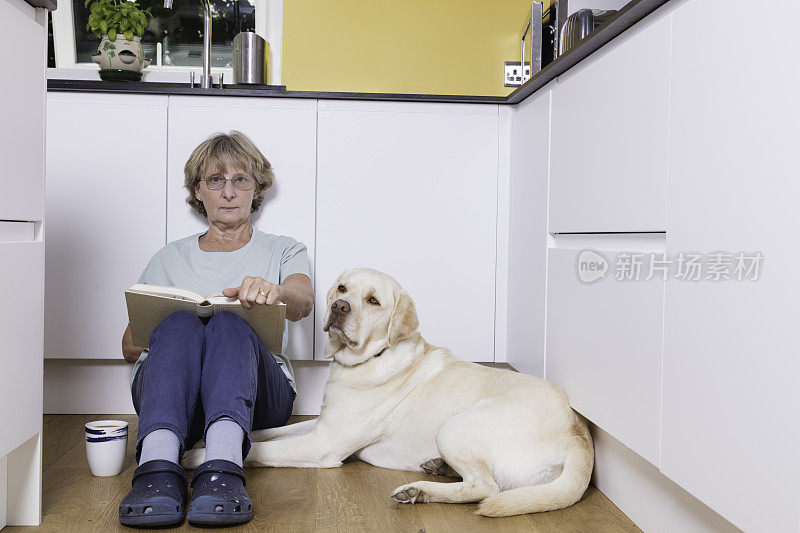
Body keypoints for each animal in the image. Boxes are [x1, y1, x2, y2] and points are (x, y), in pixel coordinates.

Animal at [183, 266, 592, 516]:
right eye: (343, 288)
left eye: (373, 300)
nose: (338, 306)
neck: (365, 361)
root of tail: (580, 435)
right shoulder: (320, 425)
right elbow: (262, 433)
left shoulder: (322, 444)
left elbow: (260, 450)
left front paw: (195, 455)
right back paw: (436, 470)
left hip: (456, 427)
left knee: (485, 488)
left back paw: (420, 491)